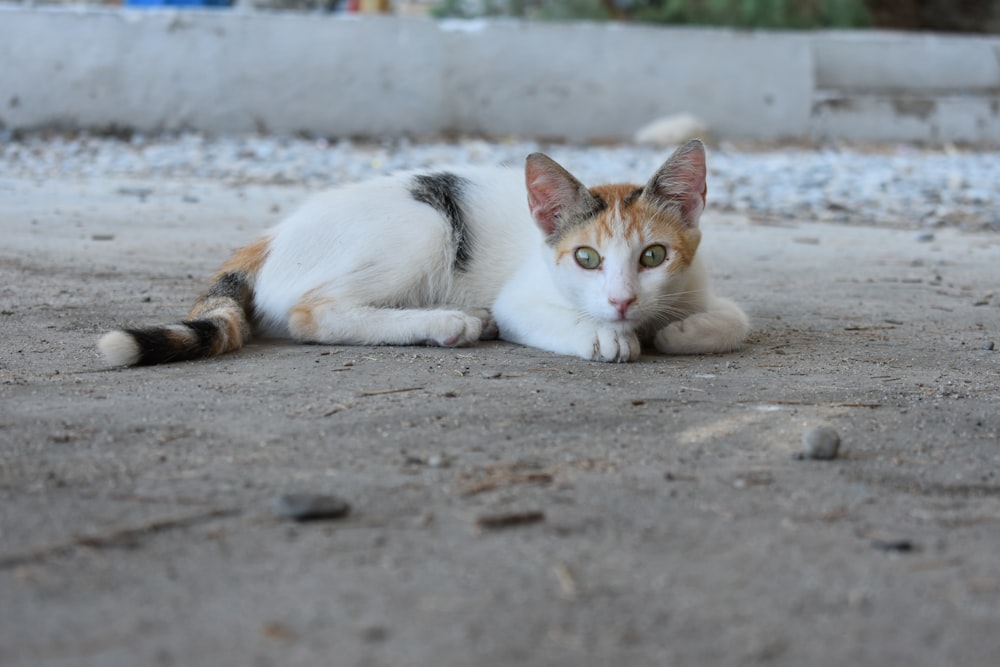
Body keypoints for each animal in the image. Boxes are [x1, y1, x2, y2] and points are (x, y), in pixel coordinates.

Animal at [97, 139, 752, 368]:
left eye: (653, 256)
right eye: (586, 259)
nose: (620, 302)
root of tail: (273, 236)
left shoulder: (699, 282)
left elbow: (737, 318)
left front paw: (679, 331)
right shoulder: (523, 296)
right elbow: (547, 317)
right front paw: (609, 335)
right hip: (427, 223)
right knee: (312, 315)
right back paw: (451, 322)